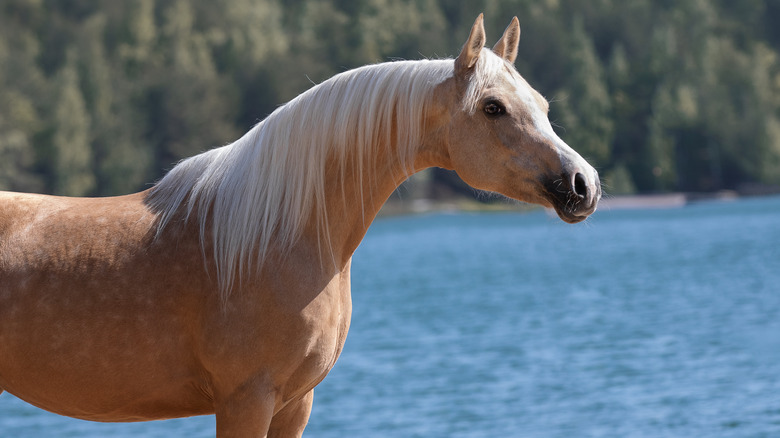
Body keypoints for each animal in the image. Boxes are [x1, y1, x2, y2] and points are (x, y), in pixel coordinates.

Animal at [0, 15, 596, 436]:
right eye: (493, 107)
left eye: (541, 104)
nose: (583, 184)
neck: (276, 237)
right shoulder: (246, 401)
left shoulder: (294, 404)